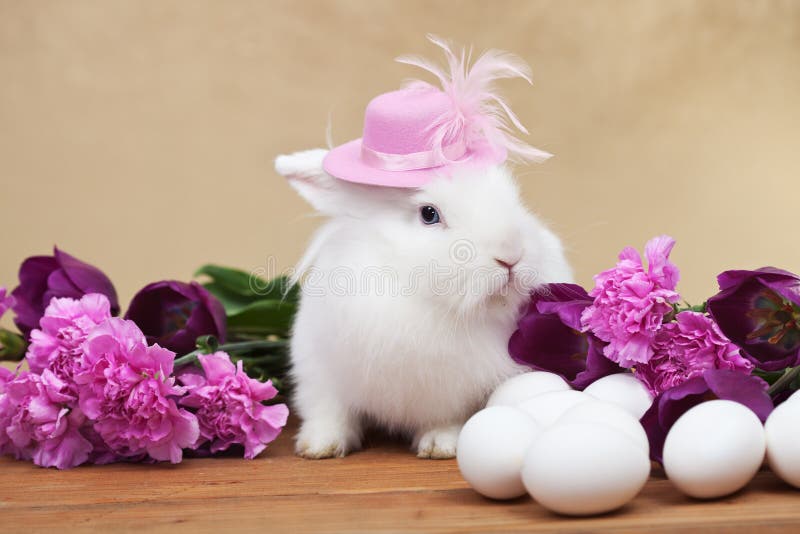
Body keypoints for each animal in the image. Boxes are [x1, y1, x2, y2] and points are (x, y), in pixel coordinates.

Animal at [274, 149, 568, 458]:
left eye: (515, 199)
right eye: (429, 214)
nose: (511, 254)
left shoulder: (449, 393)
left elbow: (446, 419)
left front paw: (439, 445)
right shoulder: (319, 373)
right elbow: (330, 412)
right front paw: (319, 446)